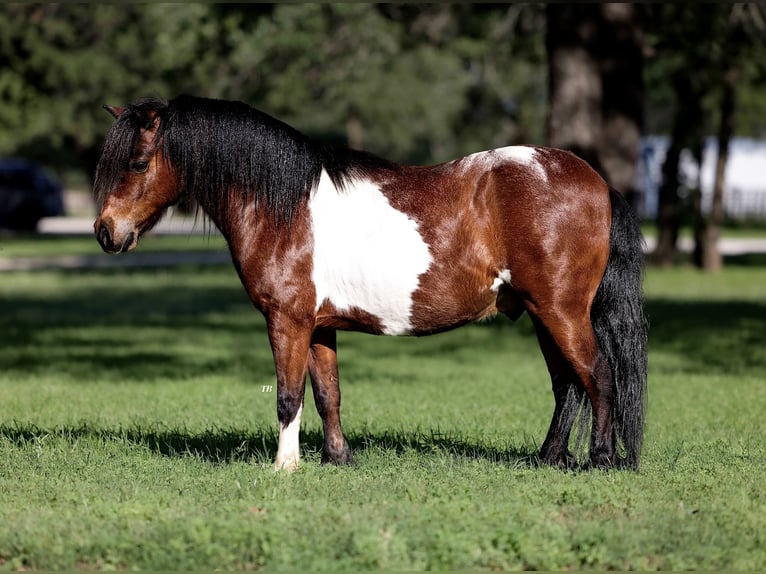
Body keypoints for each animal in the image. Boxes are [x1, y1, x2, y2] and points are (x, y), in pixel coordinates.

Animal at [93, 94, 652, 472]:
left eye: (137, 163)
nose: (105, 232)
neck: (283, 205)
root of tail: (597, 182)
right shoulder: (318, 326)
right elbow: (327, 394)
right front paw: (338, 459)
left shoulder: (287, 321)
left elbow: (288, 395)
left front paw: (284, 468)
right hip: (541, 314)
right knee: (567, 387)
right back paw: (547, 458)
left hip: (561, 312)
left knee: (597, 376)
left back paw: (601, 459)